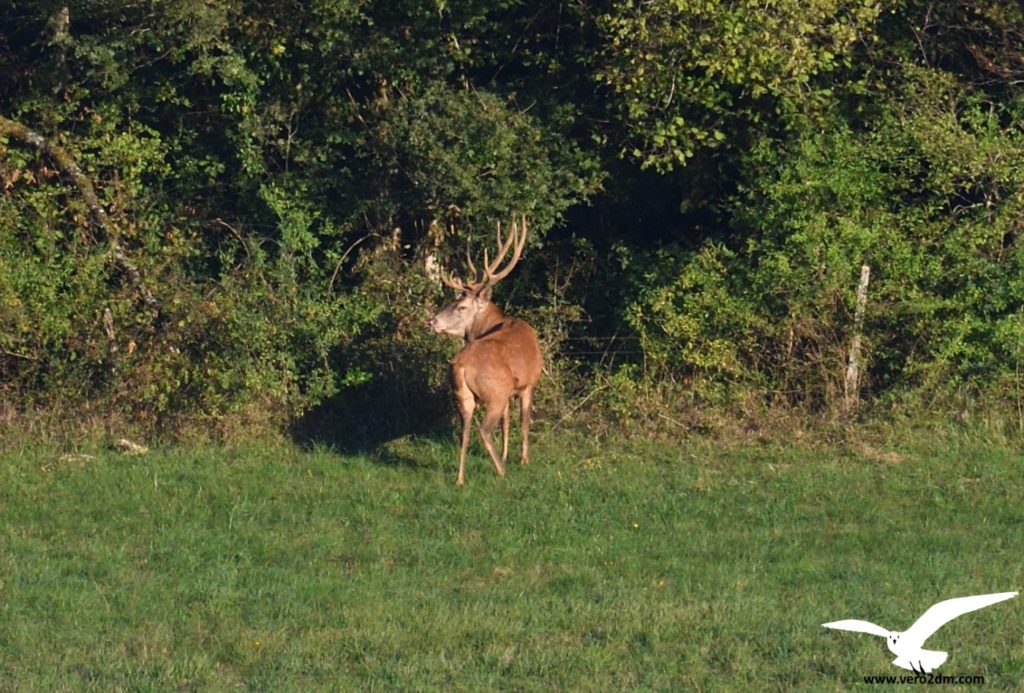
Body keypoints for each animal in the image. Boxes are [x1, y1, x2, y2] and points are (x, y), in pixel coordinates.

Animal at [425, 215, 540, 487]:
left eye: (460, 306)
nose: (431, 321)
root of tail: (461, 365)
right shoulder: (528, 383)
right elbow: (523, 421)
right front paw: (523, 459)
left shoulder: (511, 390)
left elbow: (507, 423)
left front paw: (509, 454)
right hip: (494, 393)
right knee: (484, 430)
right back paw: (500, 470)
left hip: (463, 395)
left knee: (464, 430)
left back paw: (460, 478)